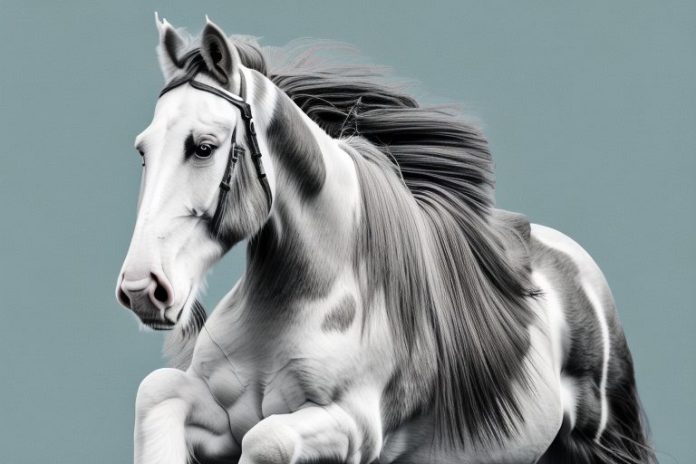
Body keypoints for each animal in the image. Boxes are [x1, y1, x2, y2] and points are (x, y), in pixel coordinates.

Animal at [115, 15, 657, 464]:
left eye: (203, 147)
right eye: (143, 150)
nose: (143, 289)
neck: (297, 300)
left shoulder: (351, 428)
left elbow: (268, 440)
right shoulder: (220, 418)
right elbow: (157, 393)